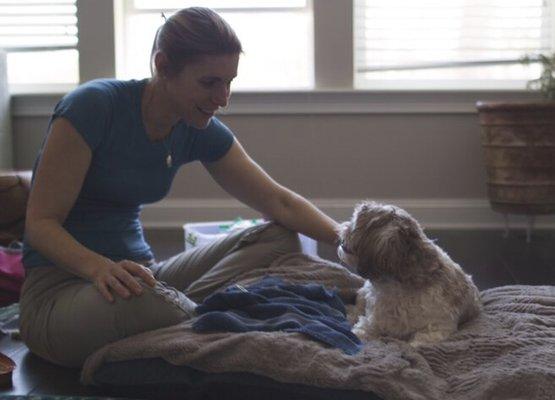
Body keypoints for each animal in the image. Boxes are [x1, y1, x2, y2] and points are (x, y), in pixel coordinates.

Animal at [338, 202, 482, 346]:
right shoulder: (372, 322)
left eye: (354, 221)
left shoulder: (436, 329)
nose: (343, 226)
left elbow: (417, 343)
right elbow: (360, 331)